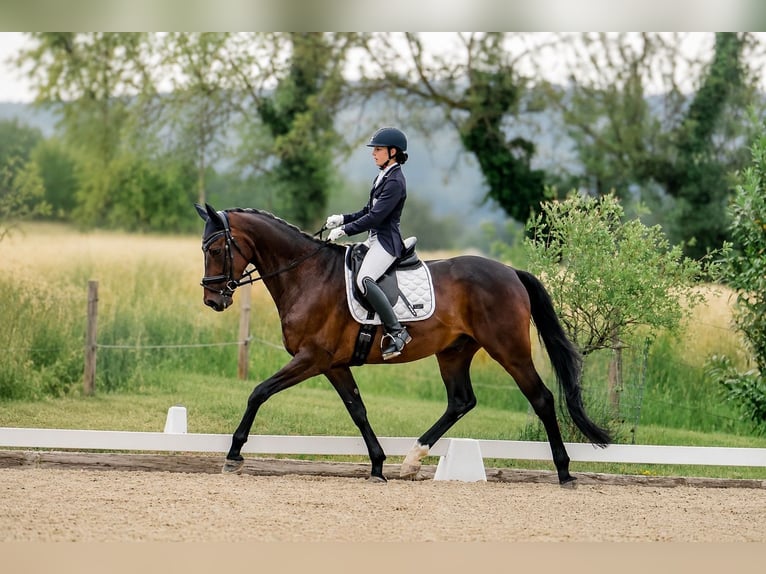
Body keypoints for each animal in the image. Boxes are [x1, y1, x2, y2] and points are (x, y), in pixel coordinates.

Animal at [195, 203, 610, 486]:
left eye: (215, 250)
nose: (213, 301)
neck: (307, 275)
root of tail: (510, 272)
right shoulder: (333, 364)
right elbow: (358, 410)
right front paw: (378, 465)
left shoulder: (311, 358)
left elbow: (259, 392)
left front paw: (233, 454)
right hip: (454, 352)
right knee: (461, 402)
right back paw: (411, 460)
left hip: (509, 350)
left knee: (541, 398)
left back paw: (564, 472)